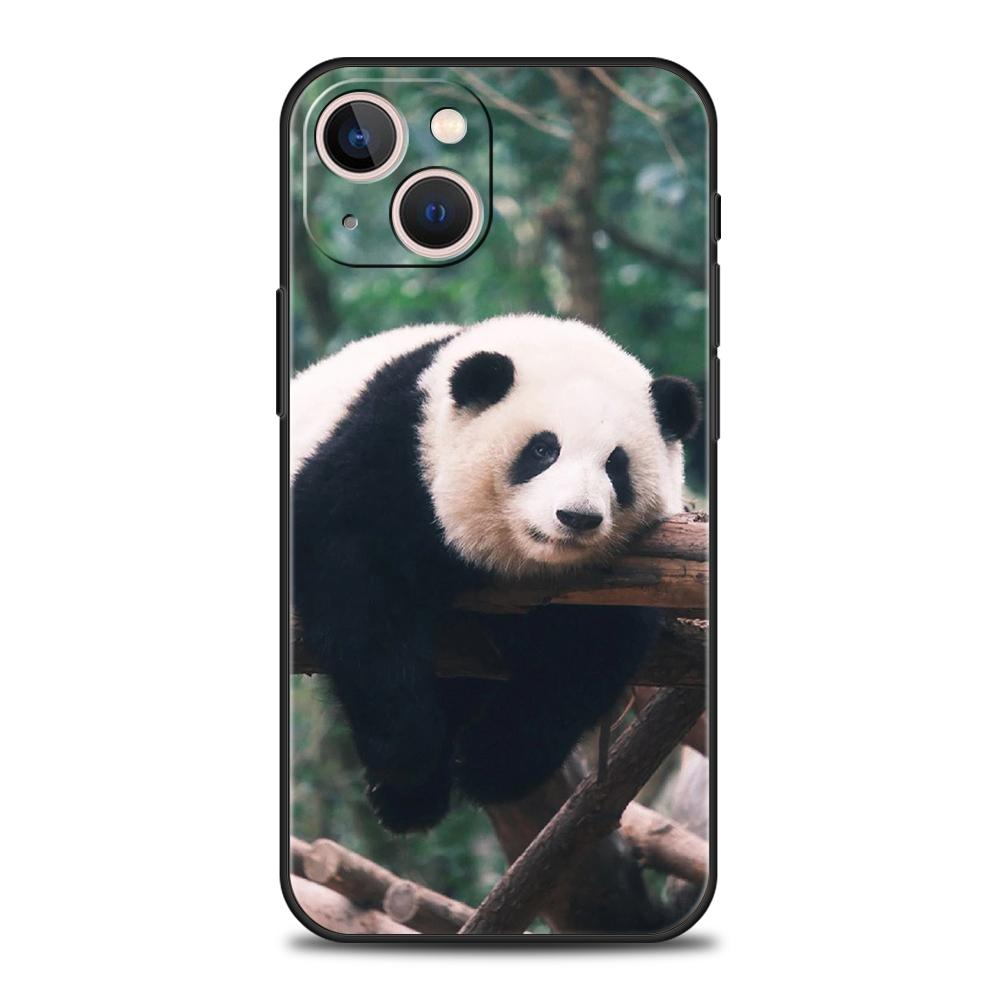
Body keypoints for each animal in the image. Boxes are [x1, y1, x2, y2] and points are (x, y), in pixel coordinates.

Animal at [292, 314, 700, 833]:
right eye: (543, 450)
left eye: (616, 464)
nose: (577, 517)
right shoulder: (392, 455)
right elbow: (356, 590)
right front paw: (407, 754)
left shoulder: (625, 576)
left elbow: (588, 653)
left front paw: (492, 763)